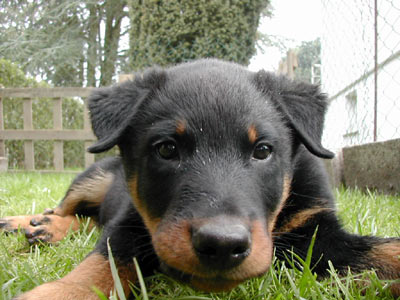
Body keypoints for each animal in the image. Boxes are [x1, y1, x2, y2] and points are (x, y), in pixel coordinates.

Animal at [3, 59, 400, 300]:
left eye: (263, 150)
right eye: (166, 149)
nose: (222, 245)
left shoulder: (317, 230)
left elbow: (385, 249)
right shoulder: (133, 221)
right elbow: (104, 261)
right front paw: (59, 291)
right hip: (94, 177)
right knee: (65, 209)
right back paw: (33, 223)